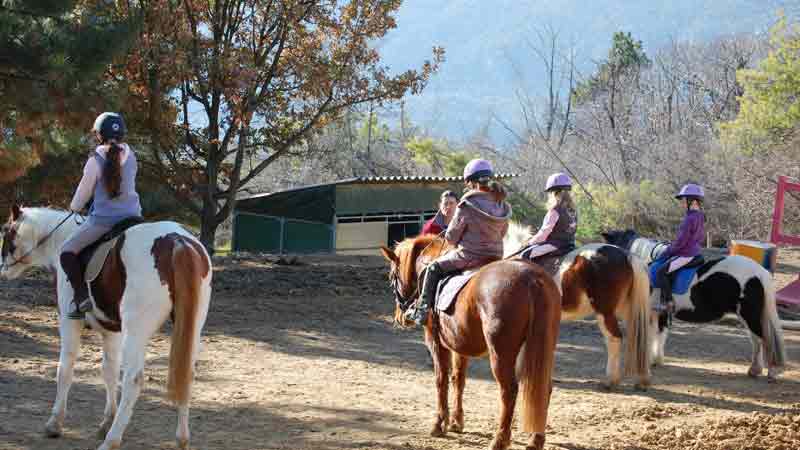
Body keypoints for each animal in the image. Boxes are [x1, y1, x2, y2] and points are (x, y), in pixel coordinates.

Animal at [0, 206, 211, 448]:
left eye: (7, 232)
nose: (3, 270)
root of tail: (177, 239)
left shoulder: (69, 321)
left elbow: (65, 369)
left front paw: (55, 423)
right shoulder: (112, 332)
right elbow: (109, 371)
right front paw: (106, 421)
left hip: (137, 332)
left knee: (133, 380)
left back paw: (112, 440)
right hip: (191, 328)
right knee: (187, 374)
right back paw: (182, 439)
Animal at [378, 236, 560, 450]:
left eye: (392, 276)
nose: (400, 317)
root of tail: (531, 278)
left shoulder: (435, 341)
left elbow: (441, 379)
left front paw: (439, 424)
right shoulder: (459, 345)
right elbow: (458, 379)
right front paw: (456, 422)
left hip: (501, 354)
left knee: (509, 391)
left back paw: (500, 439)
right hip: (540, 349)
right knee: (542, 388)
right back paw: (535, 439)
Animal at [604, 229, 784, 380]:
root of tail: (761, 272)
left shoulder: (650, 312)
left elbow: (651, 336)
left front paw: (648, 362)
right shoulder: (660, 312)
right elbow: (660, 335)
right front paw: (657, 360)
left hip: (749, 314)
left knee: (763, 338)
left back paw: (772, 372)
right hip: (747, 315)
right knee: (756, 340)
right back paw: (755, 370)